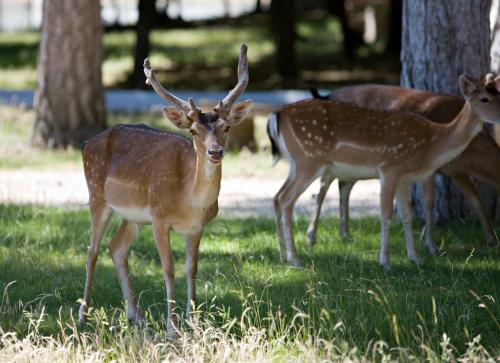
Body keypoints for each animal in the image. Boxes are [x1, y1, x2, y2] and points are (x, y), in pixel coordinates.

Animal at [79, 44, 252, 332]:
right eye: (193, 131)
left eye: (226, 126)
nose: (215, 152)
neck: (189, 200)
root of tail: (85, 143)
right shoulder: (160, 219)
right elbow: (168, 269)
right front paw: (172, 325)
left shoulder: (196, 227)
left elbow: (191, 269)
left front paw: (194, 321)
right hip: (96, 195)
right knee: (92, 250)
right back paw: (83, 315)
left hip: (133, 216)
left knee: (116, 248)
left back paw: (136, 315)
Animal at [268, 74, 500, 268]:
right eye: (484, 99)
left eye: (498, 94)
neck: (432, 144)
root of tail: (277, 114)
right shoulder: (390, 168)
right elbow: (386, 215)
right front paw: (386, 262)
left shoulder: (405, 177)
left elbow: (406, 215)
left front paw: (415, 258)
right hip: (309, 160)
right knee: (288, 199)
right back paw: (295, 258)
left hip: (296, 163)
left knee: (277, 196)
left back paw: (282, 255)